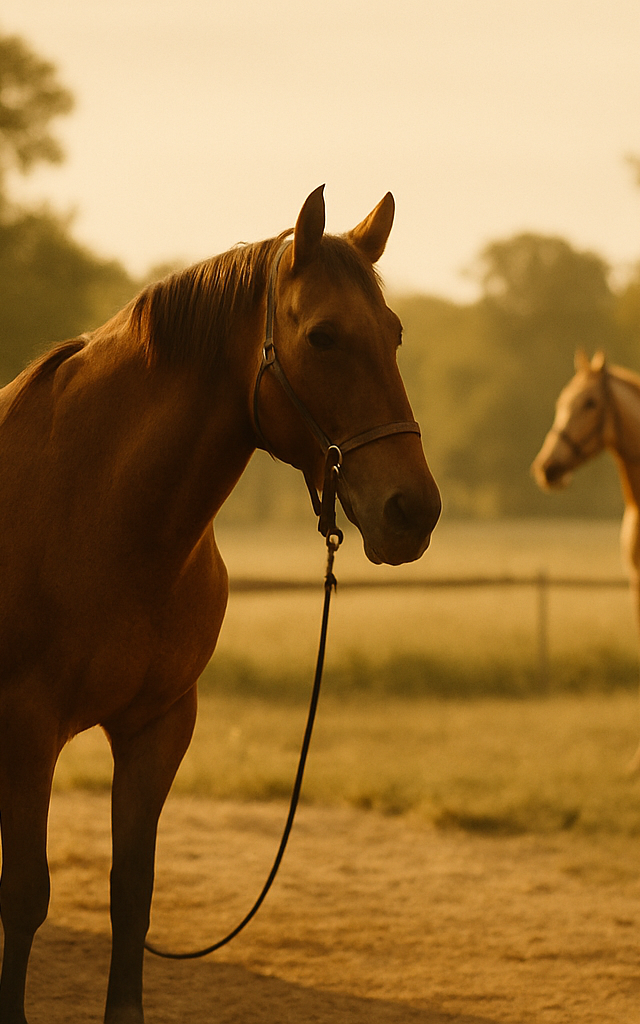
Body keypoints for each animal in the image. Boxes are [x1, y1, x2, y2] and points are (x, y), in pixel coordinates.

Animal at [0, 185, 441, 1023]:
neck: (90, 503)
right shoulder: (29, 729)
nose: (414, 511)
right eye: (324, 336)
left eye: (397, 334)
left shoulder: (160, 725)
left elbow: (131, 896)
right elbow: (25, 898)